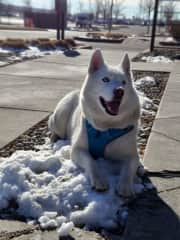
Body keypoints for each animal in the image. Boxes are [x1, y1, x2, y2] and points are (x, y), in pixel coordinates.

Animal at [48, 49, 141, 197]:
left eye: (124, 82)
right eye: (105, 79)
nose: (120, 91)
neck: (107, 126)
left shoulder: (132, 155)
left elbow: (128, 168)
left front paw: (125, 185)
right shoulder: (77, 150)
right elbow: (91, 162)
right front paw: (99, 180)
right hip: (60, 118)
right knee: (53, 130)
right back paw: (54, 141)